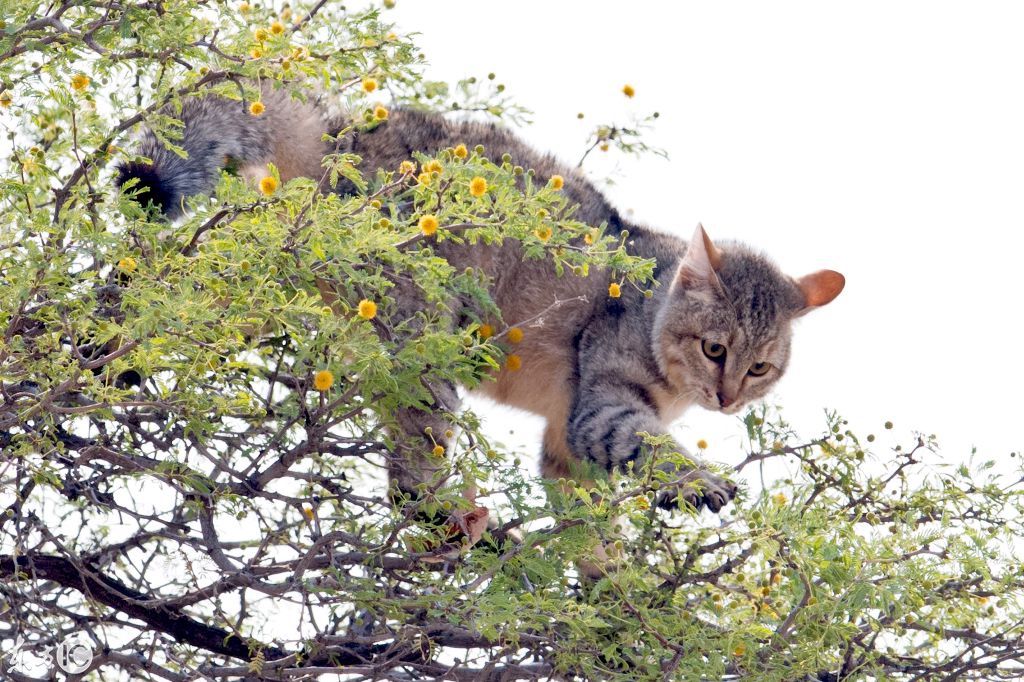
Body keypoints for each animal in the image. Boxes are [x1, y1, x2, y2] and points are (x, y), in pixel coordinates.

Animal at [117, 84, 839, 516]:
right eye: (715, 348)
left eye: (760, 368)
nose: (727, 399)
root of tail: (341, 132)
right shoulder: (601, 409)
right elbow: (648, 445)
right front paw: (697, 482)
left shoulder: (564, 447)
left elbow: (593, 545)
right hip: (422, 347)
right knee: (412, 474)